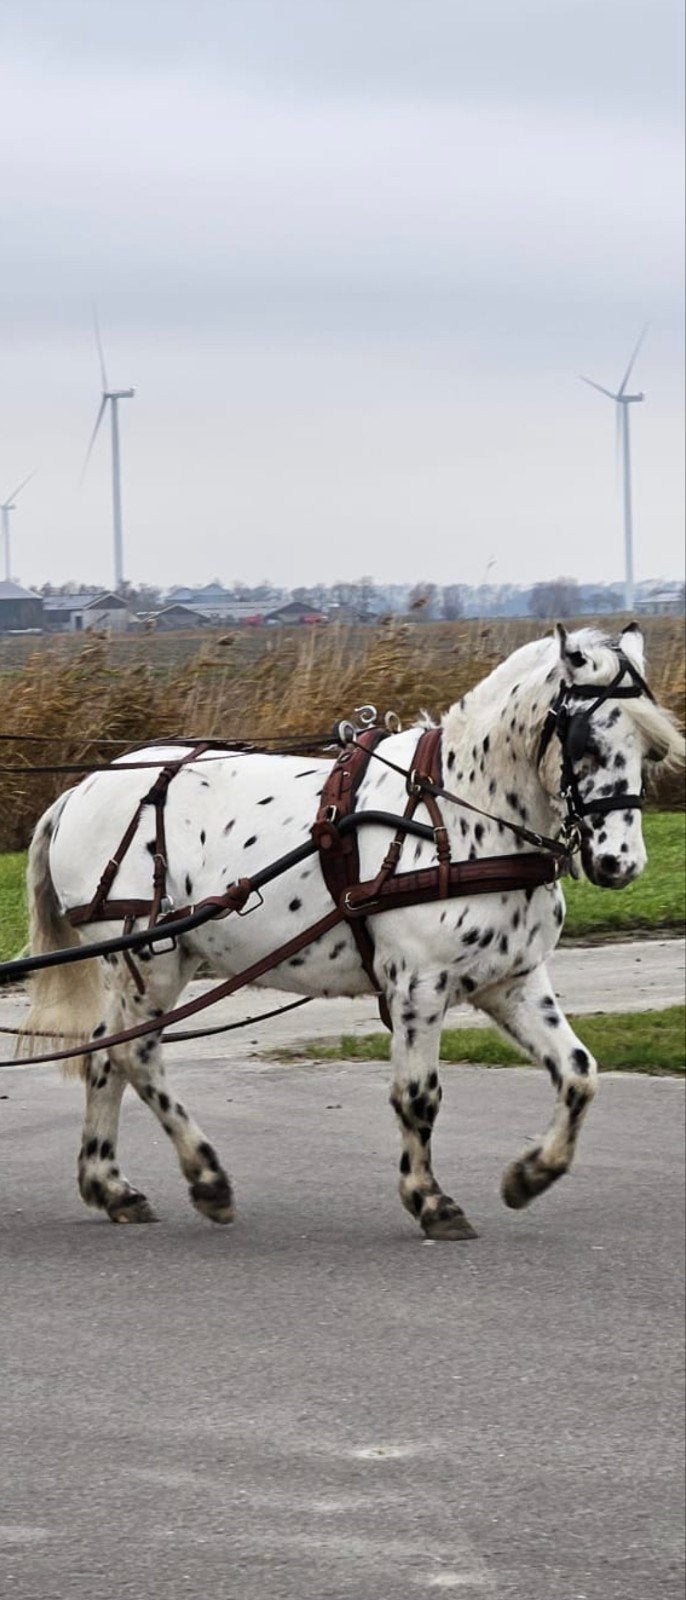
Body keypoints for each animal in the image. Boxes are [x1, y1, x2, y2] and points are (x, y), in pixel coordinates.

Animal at [19, 622, 683, 1238]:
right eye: (587, 744)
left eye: (649, 751)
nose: (620, 863)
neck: (459, 810)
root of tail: (82, 788)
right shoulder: (419, 984)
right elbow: (417, 1095)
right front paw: (430, 1200)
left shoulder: (513, 980)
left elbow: (578, 1072)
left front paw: (531, 1174)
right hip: (146, 959)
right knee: (134, 1053)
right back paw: (206, 1177)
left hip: (154, 963)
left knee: (104, 1053)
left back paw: (109, 1185)